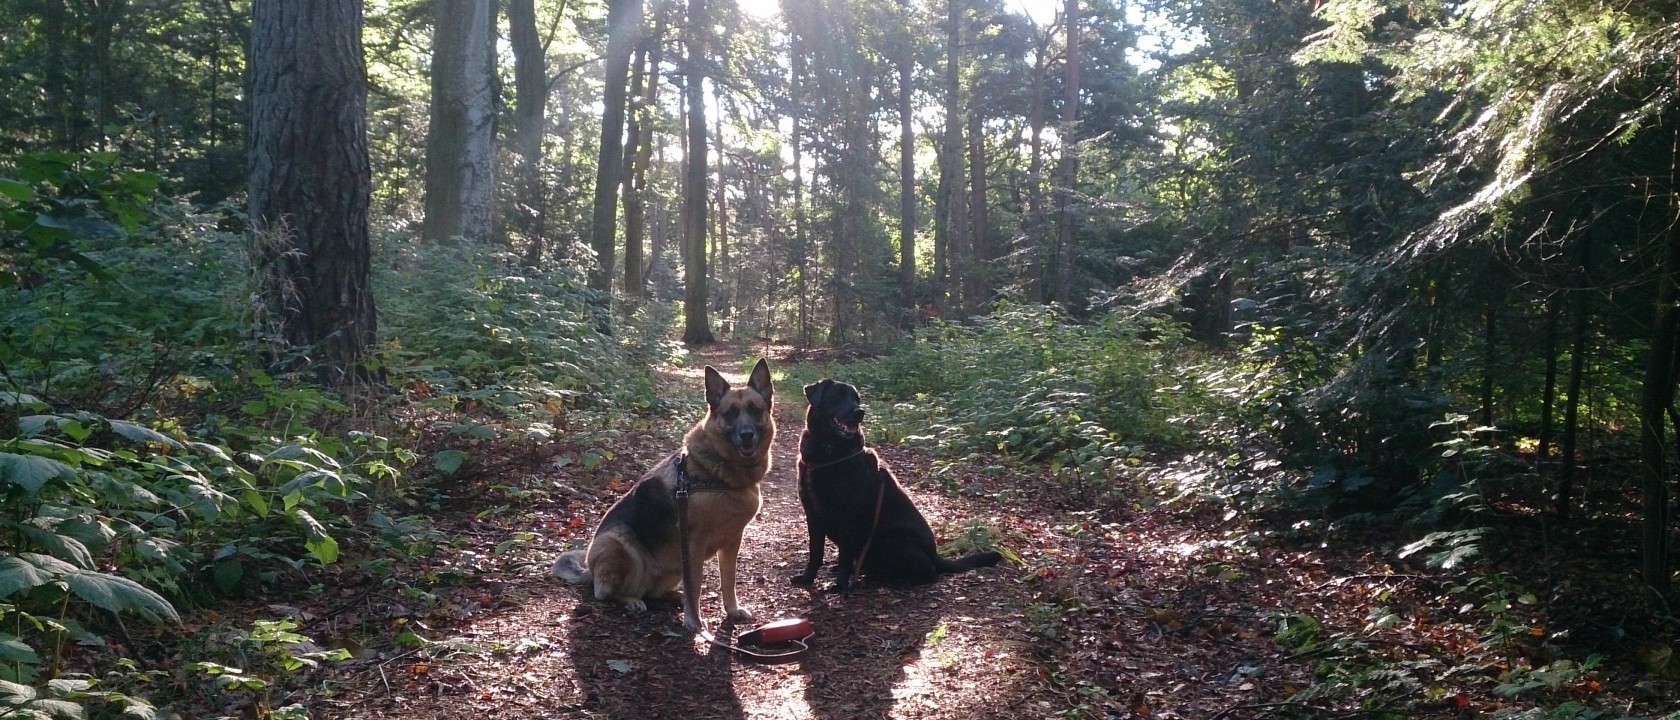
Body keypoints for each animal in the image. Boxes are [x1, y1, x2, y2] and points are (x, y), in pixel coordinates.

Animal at [557, 359, 779, 627]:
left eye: (754, 410)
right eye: (730, 413)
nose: (747, 435)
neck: (718, 476)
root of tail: (588, 571)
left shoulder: (732, 542)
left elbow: (728, 581)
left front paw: (732, 610)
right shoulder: (693, 544)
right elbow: (696, 583)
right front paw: (693, 621)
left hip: (671, 567)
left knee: (654, 592)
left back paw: (672, 596)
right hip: (616, 543)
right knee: (606, 593)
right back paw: (632, 600)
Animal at [786, 375, 994, 590]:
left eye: (856, 399)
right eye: (838, 396)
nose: (860, 412)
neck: (826, 451)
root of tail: (936, 556)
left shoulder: (849, 517)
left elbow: (844, 555)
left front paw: (841, 586)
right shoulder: (812, 514)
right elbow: (815, 552)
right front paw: (807, 578)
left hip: (893, 541)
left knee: (930, 574)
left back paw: (895, 581)